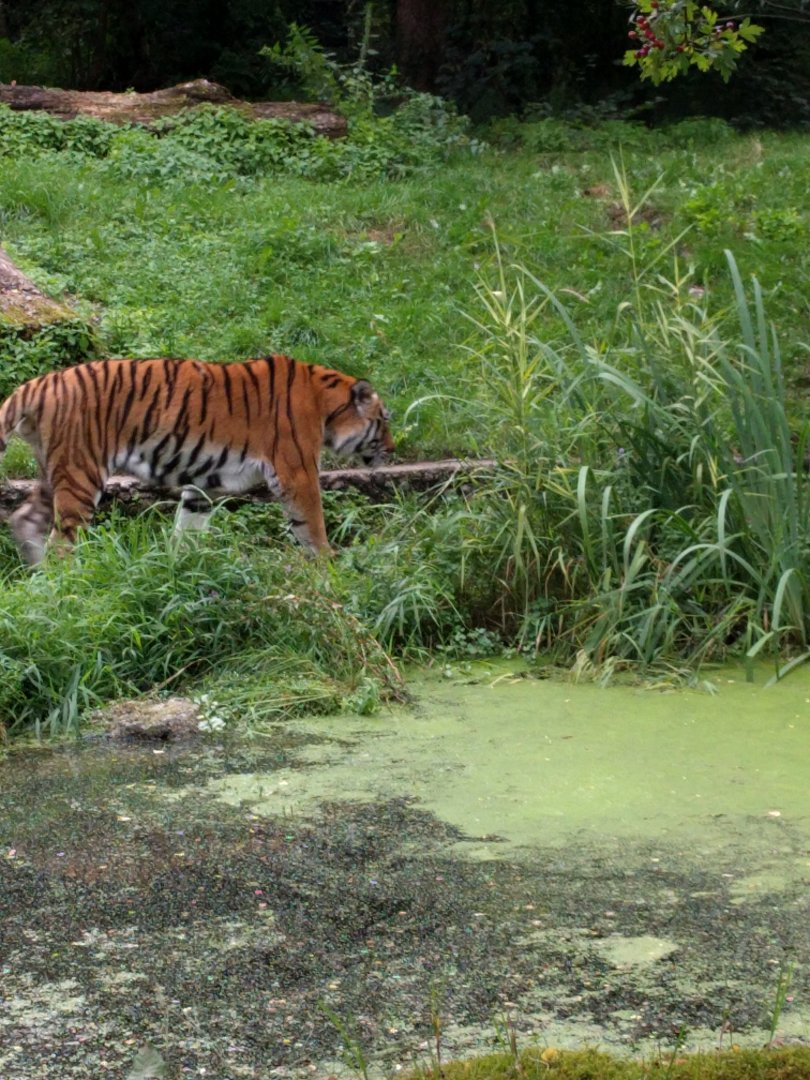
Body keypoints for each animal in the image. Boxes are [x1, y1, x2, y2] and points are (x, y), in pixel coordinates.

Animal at [0, 354, 394, 563]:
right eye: (384, 420)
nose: (391, 451)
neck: (325, 404)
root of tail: (40, 383)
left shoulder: (207, 484)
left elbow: (187, 528)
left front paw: (181, 569)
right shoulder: (296, 472)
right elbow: (312, 524)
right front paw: (329, 564)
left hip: (55, 470)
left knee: (24, 518)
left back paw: (38, 578)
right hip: (81, 472)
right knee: (61, 542)